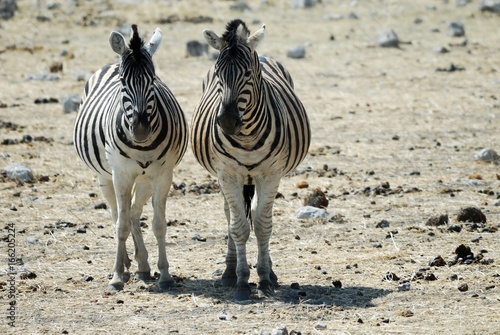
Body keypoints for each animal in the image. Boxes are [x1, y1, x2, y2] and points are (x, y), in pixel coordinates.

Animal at [74, 24, 189, 292]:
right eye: (123, 82)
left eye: (153, 81)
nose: (140, 131)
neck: (142, 147)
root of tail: (110, 62)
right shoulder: (122, 174)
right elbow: (121, 225)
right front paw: (116, 275)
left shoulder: (163, 175)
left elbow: (158, 224)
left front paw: (165, 274)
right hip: (105, 176)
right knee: (117, 213)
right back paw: (127, 263)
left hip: (145, 179)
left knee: (135, 212)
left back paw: (143, 265)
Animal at [190, 19, 308, 300]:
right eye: (218, 73)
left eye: (247, 73)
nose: (226, 122)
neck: (247, 139)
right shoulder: (227, 174)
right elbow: (238, 226)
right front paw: (242, 281)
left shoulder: (271, 174)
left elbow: (263, 224)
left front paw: (264, 278)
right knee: (230, 215)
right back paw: (229, 271)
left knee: (256, 214)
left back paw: (270, 272)